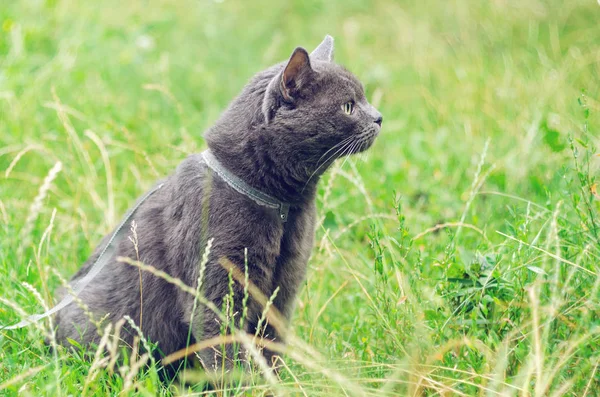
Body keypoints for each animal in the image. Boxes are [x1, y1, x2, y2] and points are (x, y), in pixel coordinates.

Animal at [55, 35, 384, 372]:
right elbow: (224, 346)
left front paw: (278, 379)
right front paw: (240, 381)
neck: (283, 206)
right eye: (348, 106)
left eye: (363, 99)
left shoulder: (284, 284)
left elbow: (271, 340)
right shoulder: (219, 282)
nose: (379, 117)